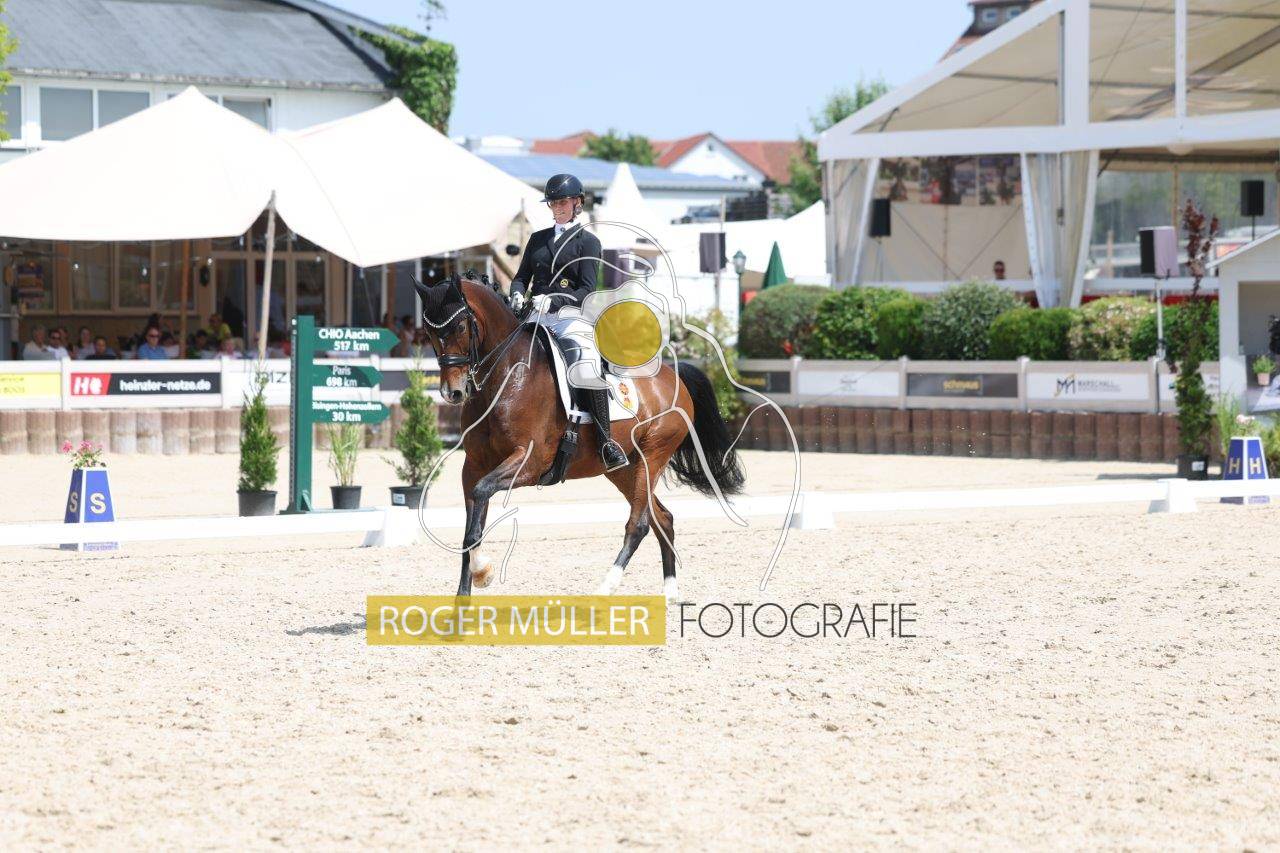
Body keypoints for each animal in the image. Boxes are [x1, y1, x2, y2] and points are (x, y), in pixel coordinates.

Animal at [414, 273, 745, 602]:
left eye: (460, 327)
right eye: (429, 333)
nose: (453, 393)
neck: (507, 375)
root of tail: (672, 375)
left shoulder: (530, 462)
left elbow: (482, 493)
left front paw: (484, 573)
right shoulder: (473, 467)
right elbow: (471, 529)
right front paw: (462, 603)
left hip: (653, 456)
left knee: (638, 524)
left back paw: (605, 589)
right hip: (624, 469)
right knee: (662, 518)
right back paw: (670, 592)